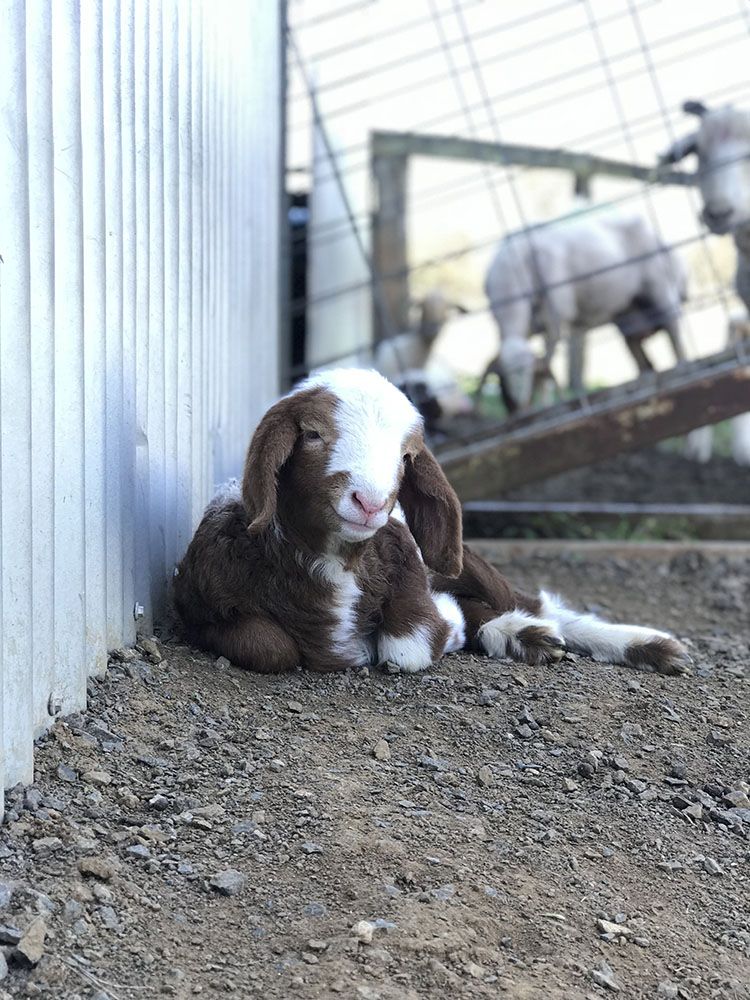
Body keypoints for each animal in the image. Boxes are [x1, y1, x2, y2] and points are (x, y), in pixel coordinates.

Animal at [173, 372, 692, 676]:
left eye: (406, 457)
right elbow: (269, 646)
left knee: (537, 603)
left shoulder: (409, 569)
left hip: (467, 562)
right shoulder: (200, 604)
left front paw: (444, 627)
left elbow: (411, 645)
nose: (370, 502)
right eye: (313, 434)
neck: (337, 560)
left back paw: (652, 645)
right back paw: (529, 638)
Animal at [482, 211, 688, 414]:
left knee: (677, 342)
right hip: (628, 317)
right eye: (502, 380)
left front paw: (546, 407)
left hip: (662, 294)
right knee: (641, 356)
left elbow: (547, 366)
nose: (521, 410)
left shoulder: (555, 318)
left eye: (528, 377)